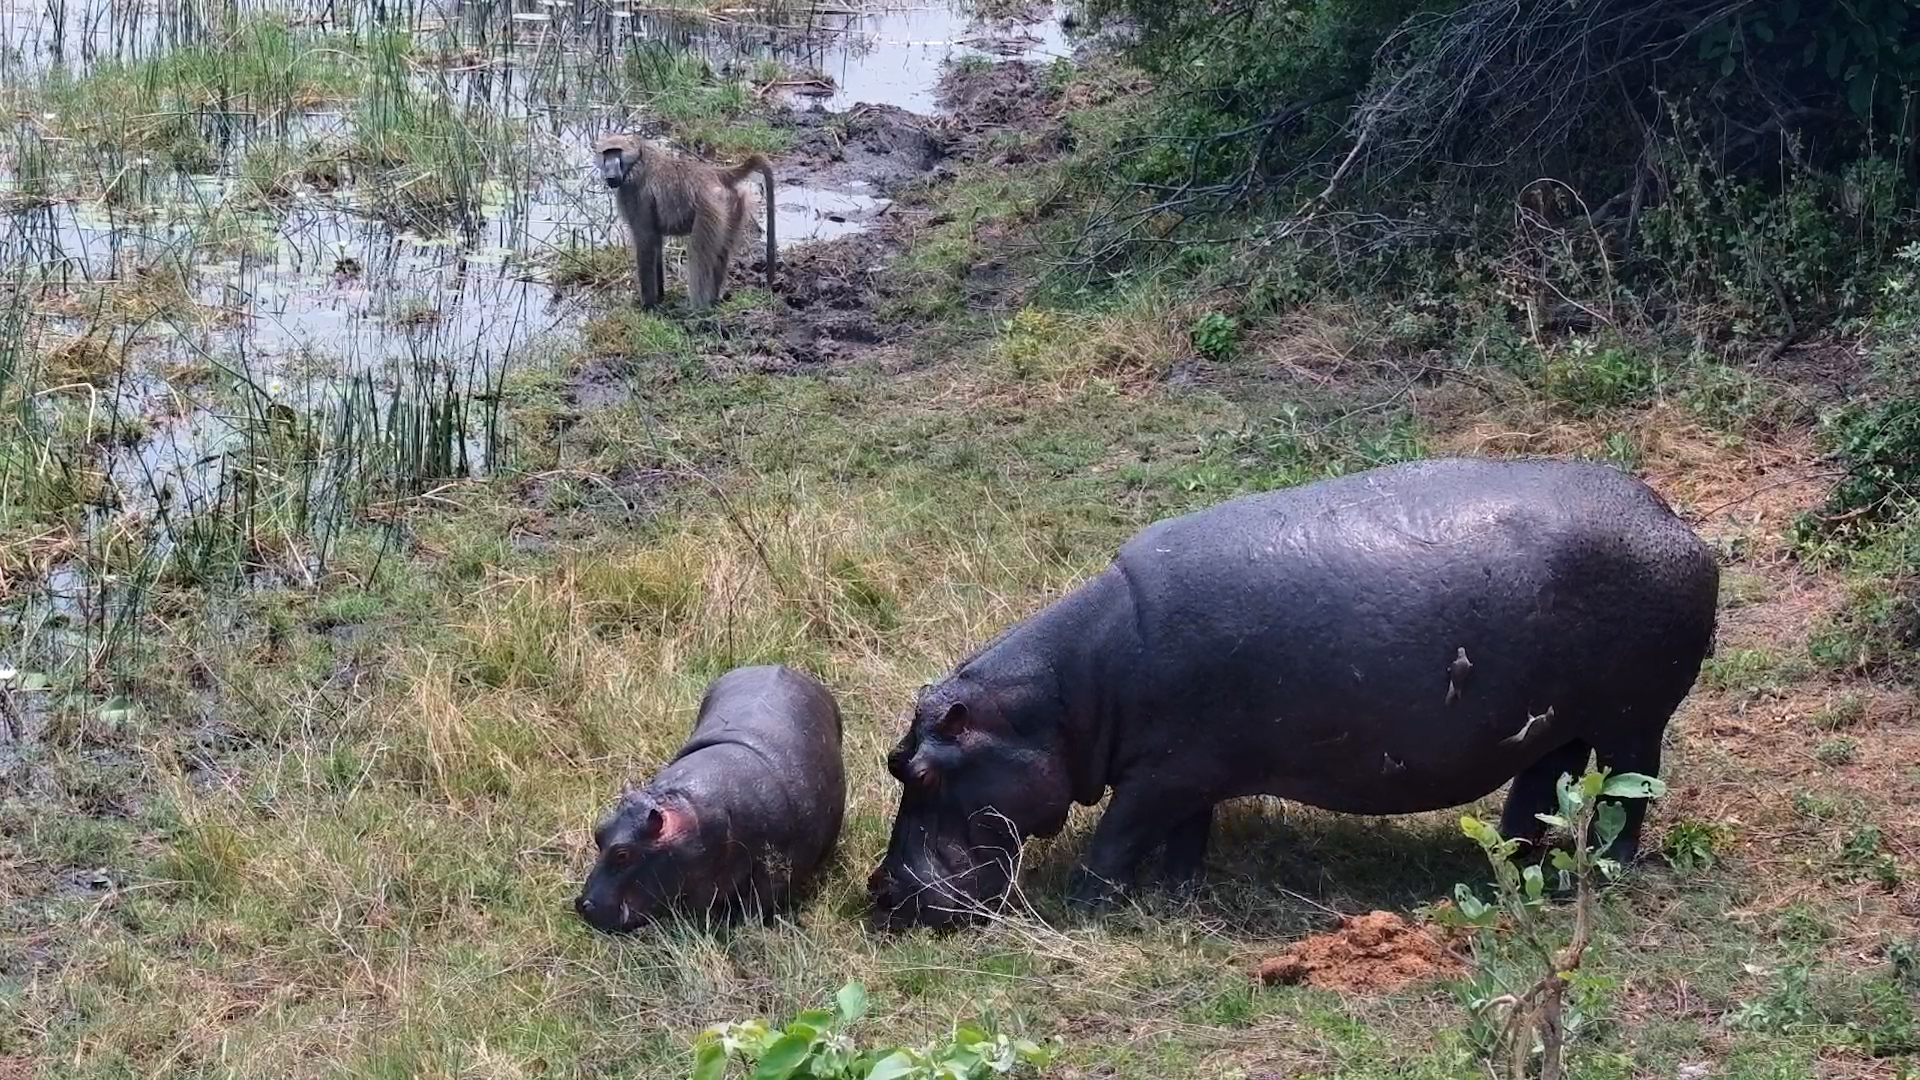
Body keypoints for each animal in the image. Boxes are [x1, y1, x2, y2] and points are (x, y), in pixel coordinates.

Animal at [576, 664, 846, 932]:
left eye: (622, 854)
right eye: (598, 832)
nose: (582, 905)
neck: (688, 809)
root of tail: (778, 666)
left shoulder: (776, 869)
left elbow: (757, 904)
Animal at [593, 133, 776, 312]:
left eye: (616, 151)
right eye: (606, 153)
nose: (610, 174)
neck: (639, 157)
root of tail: (714, 173)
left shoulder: (633, 192)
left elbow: (646, 242)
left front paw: (647, 306)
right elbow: (656, 242)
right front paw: (660, 296)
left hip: (709, 206)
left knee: (697, 251)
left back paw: (698, 309)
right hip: (733, 204)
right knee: (721, 253)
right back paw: (714, 300)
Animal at [868, 457, 1718, 928]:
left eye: (918, 771)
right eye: (890, 759)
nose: (879, 891)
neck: (1064, 700)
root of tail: (1675, 522)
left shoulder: (1158, 777)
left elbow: (1116, 839)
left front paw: (1088, 906)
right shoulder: (1183, 770)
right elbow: (1185, 837)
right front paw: (1177, 897)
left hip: (1635, 719)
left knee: (1631, 792)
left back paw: (1601, 870)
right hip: (1556, 722)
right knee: (1542, 785)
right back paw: (1515, 863)